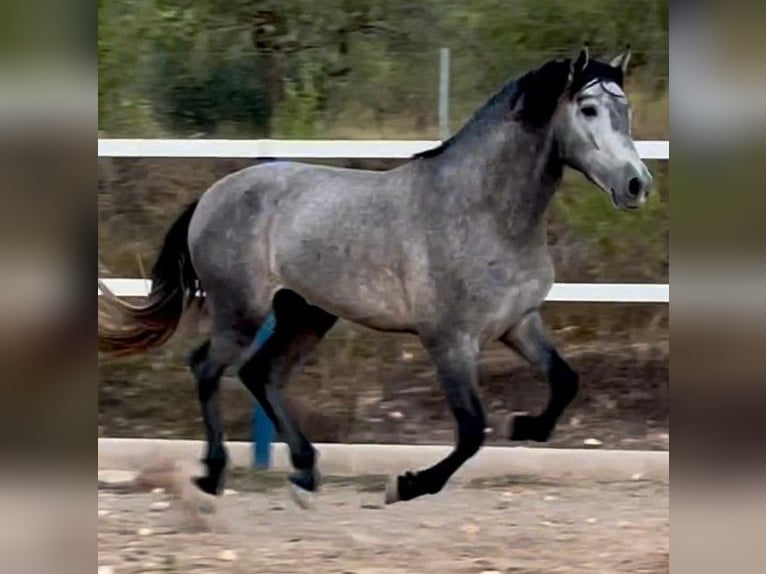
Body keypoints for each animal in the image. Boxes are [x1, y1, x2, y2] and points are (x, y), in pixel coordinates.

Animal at [99, 48, 656, 508]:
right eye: (588, 109)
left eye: (625, 110)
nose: (637, 185)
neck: (484, 211)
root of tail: (212, 195)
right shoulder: (449, 340)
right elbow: (472, 430)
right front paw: (406, 484)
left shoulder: (518, 322)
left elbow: (564, 380)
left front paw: (525, 427)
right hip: (241, 311)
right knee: (208, 369)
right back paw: (214, 476)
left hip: (305, 313)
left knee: (261, 373)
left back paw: (305, 473)